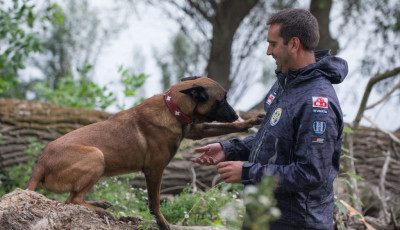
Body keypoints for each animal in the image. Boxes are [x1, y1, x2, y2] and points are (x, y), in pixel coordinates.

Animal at [25, 76, 262, 229]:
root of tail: (41, 163)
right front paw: (163, 223)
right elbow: (154, 202)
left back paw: (100, 205)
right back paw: (101, 210)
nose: (235, 114)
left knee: (73, 198)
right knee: (72, 200)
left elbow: (223, 128)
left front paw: (251, 122)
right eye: (221, 100)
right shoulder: (154, 170)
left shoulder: (195, 129)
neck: (172, 108)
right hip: (96, 156)